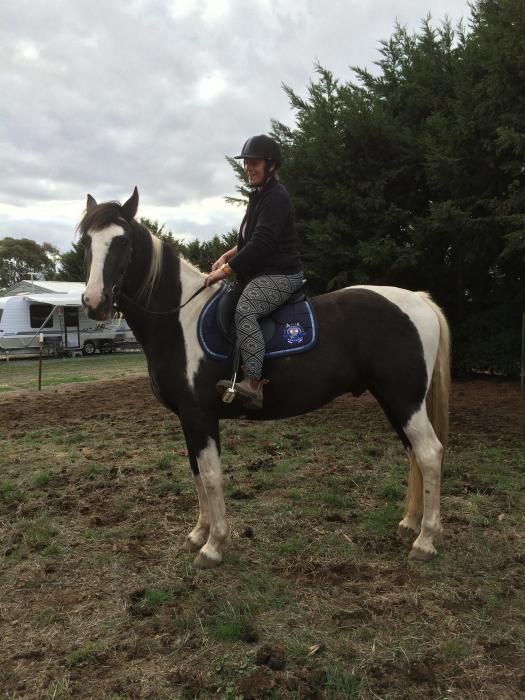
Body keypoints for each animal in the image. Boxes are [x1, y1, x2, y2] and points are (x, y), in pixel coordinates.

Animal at [79, 188, 451, 569]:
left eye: (123, 242)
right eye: (86, 242)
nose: (94, 302)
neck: (180, 320)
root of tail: (418, 300)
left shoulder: (200, 415)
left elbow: (211, 476)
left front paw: (213, 546)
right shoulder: (186, 418)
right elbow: (196, 472)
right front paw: (198, 534)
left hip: (404, 399)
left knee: (429, 453)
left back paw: (425, 540)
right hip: (394, 400)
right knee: (414, 452)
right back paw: (410, 524)